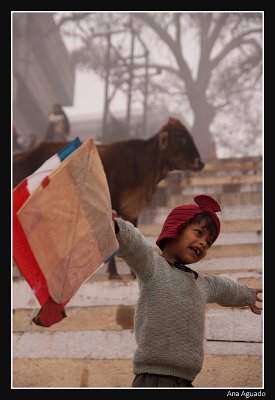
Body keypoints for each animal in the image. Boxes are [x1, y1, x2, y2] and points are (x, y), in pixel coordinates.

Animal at [12, 116, 205, 278]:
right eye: (180, 137)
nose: (201, 162)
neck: (143, 166)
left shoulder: (132, 210)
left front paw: (132, 273)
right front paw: (113, 273)